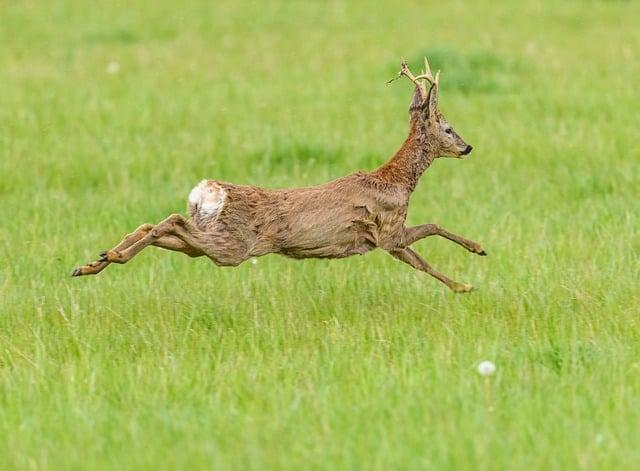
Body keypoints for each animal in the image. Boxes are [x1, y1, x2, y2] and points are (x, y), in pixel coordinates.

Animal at [72, 57, 484, 294]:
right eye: (448, 128)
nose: (467, 147)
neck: (396, 180)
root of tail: (208, 191)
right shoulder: (387, 231)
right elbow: (429, 236)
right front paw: (468, 276)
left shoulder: (385, 238)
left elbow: (425, 248)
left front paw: (468, 272)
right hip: (232, 246)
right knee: (169, 222)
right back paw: (106, 257)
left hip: (210, 239)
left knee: (159, 226)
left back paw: (95, 260)